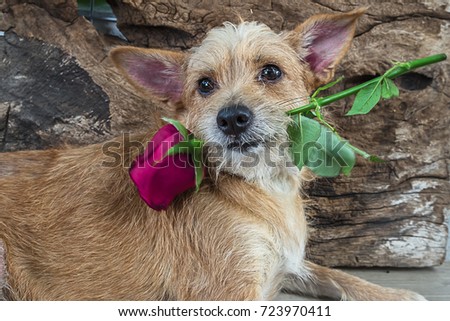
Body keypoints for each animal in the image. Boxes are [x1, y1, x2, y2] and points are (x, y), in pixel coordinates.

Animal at [0, 10, 426, 300]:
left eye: (271, 73)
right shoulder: (231, 293)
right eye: (205, 85)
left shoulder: (284, 262)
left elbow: (331, 273)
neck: (261, 184)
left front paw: (396, 296)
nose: (231, 118)